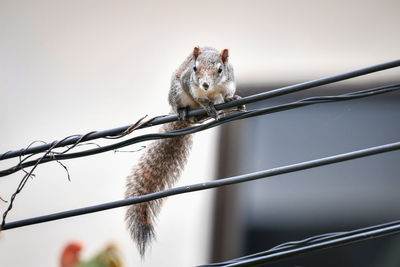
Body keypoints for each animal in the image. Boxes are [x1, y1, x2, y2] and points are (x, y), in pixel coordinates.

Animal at [125, 46, 244, 258]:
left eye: (220, 69)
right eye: (195, 68)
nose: (205, 84)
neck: (212, 91)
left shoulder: (228, 83)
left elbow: (227, 95)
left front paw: (232, 99)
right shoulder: (189, 84)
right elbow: (200, 98)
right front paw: (207, 105)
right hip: (177, 92)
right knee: (184, 107)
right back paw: (185, 112)